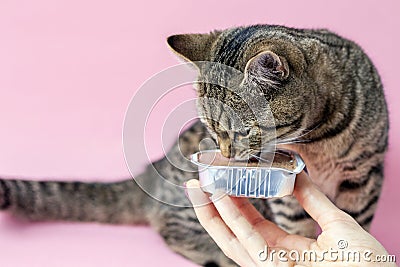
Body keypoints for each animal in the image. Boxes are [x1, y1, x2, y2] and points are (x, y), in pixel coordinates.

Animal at [0, 24, 388, 266]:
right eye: (213, 131)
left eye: (242, 132)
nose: (228, 154)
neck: (318, 144)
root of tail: (151, 170)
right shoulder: (287, 200)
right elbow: (295, 227)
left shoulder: (365, 177)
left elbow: (356, 224)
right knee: (171, 230)